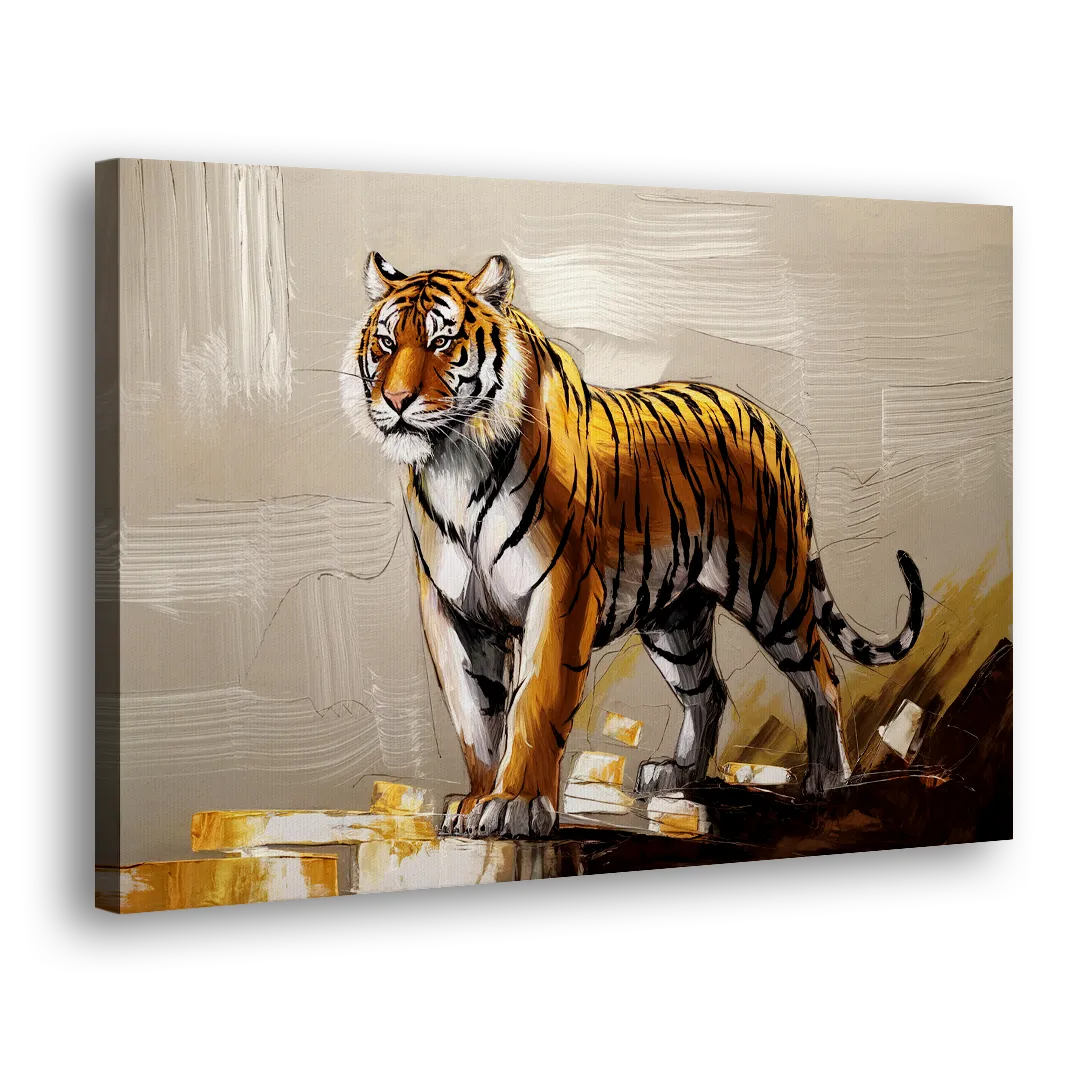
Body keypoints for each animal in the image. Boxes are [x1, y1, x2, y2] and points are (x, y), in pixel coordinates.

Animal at [344, 251, 925, 840]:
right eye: (386, 343)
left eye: (441, 342)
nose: (396, 401)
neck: (454, 458)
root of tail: (766, 420)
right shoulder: (452, 609)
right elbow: (475, 718)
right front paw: (476, 801)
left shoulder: (560, 590)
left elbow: (533, 702)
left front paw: (514, 805)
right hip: (675, 618)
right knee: (709, 690)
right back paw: (678, 774)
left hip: (771, 588)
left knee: (822, 674)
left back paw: (828, 775)